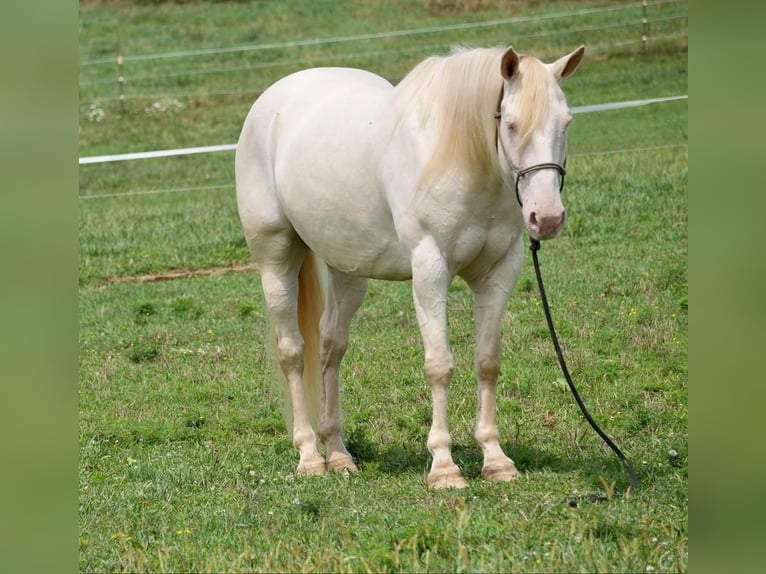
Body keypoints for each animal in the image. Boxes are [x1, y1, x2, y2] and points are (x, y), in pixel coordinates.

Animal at [237, 45, 584, 490]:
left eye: (566, 122)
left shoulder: (498, 273)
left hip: (348, 270)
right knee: (293, 353)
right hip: (275, 258)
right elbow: (439, 366)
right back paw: (310, 456)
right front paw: (444, 467)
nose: (548, 217)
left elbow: (488, 362)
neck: (459, 157)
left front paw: (496, 459)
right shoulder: (430, 270)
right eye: (510, 124)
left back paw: (338, 454)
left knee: (331, 348)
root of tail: (271, 100)